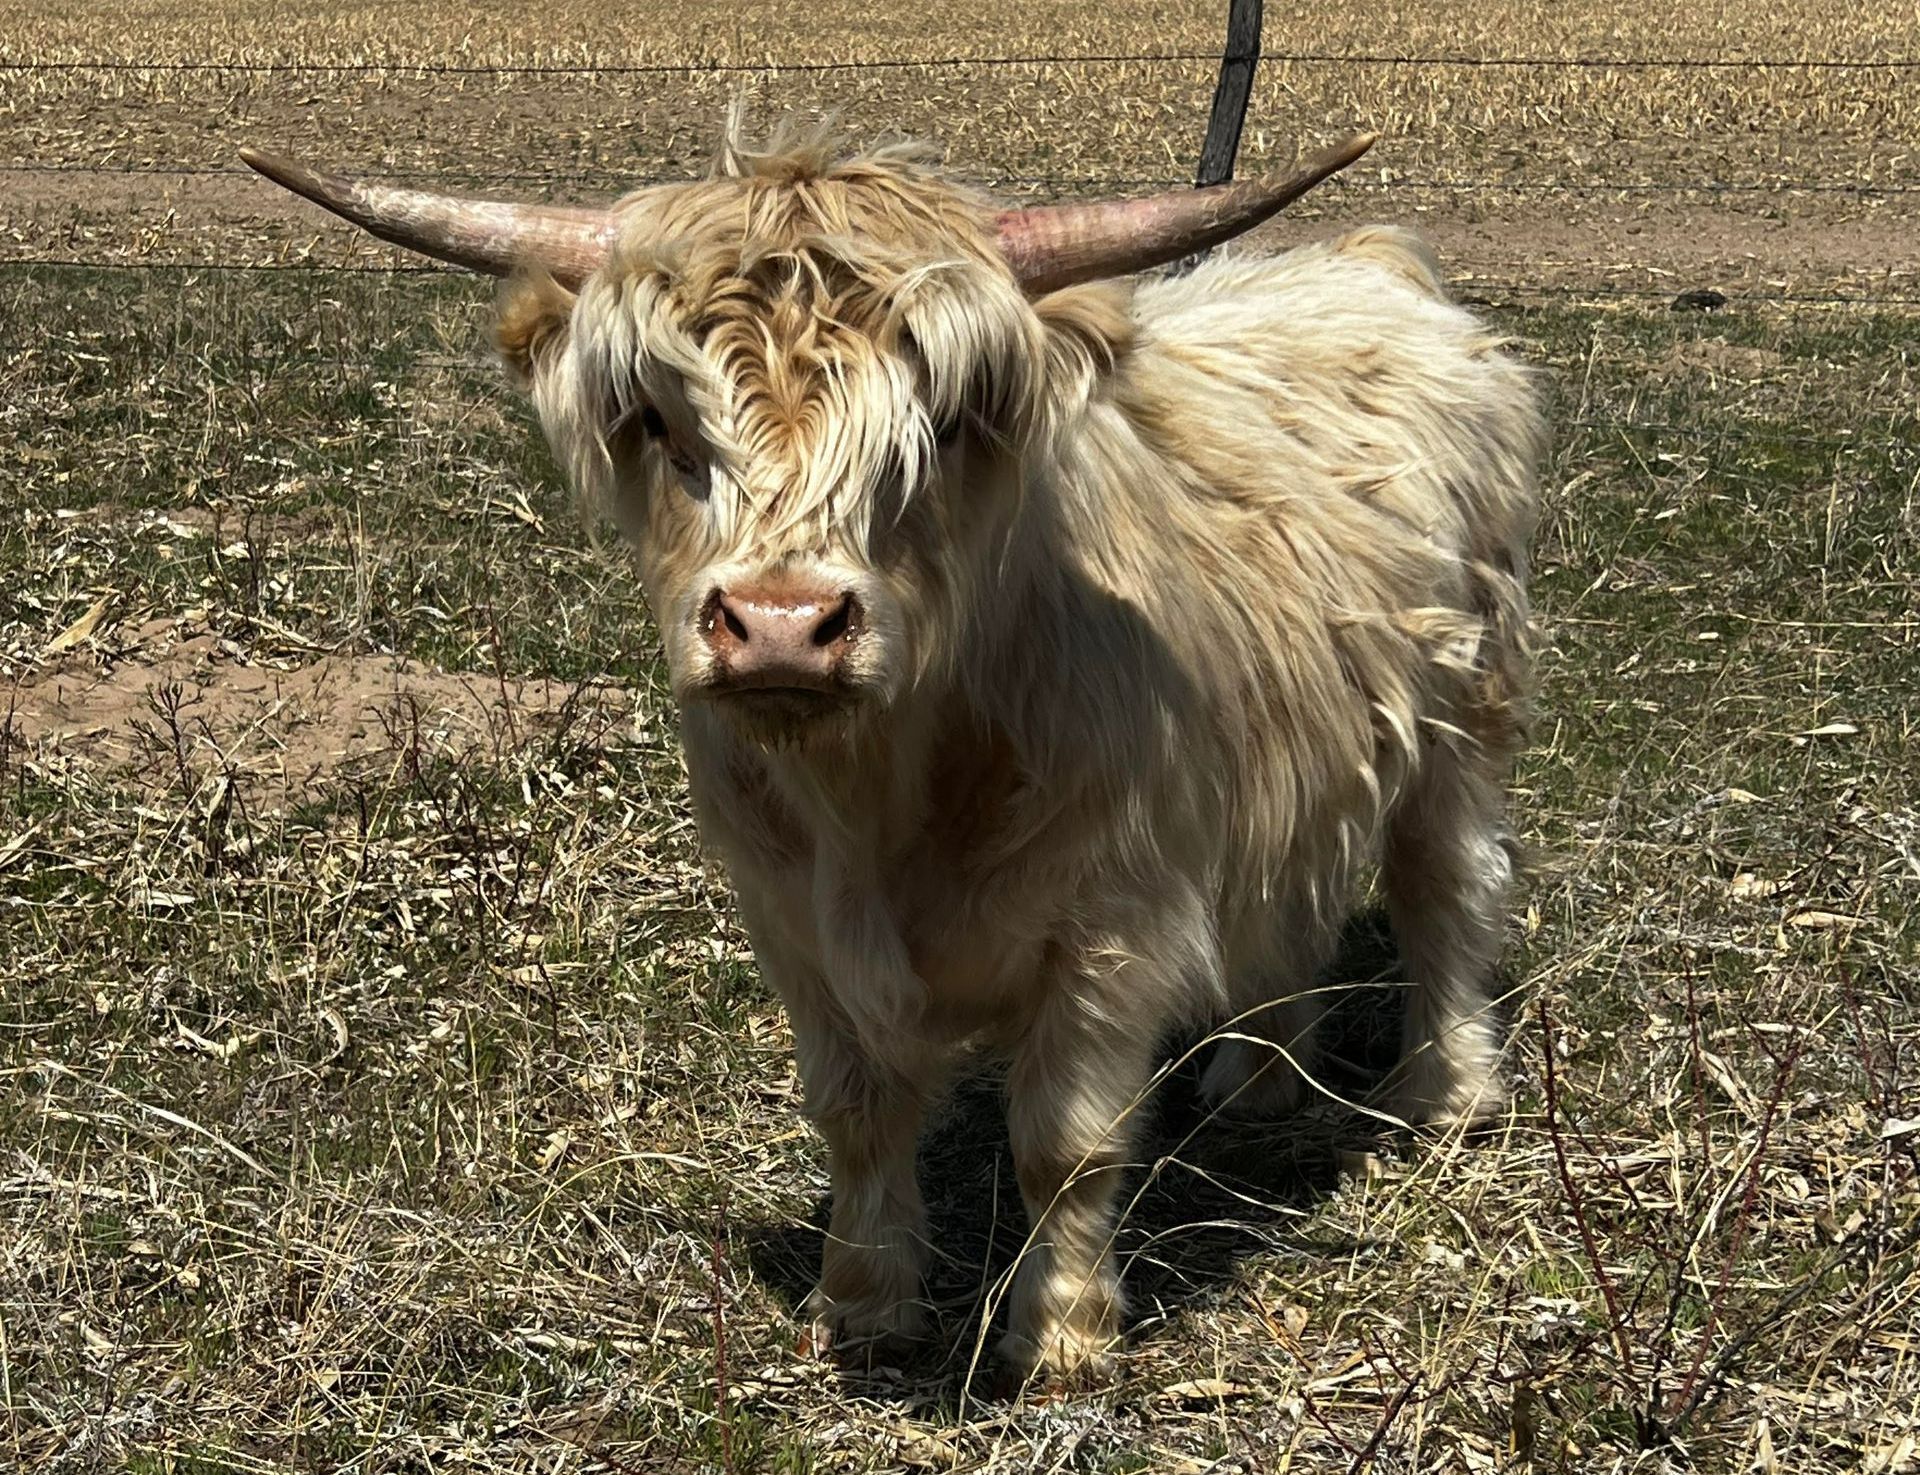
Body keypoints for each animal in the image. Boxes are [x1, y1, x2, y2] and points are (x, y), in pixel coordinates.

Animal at [243, 117, 1544, 1380]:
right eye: (663, 422)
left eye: (945, 426)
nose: (780, 623)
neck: (884, 799)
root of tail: (1365, 263)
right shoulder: (791, 919)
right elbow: (856, 1110)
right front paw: (864, 1303)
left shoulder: (1111, 920)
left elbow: (1065, 1141)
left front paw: (1061, 1336)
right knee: (1291, 901)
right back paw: (1259, 1083)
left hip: (1464, 715)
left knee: (1445, 889)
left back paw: (1450, 1093)